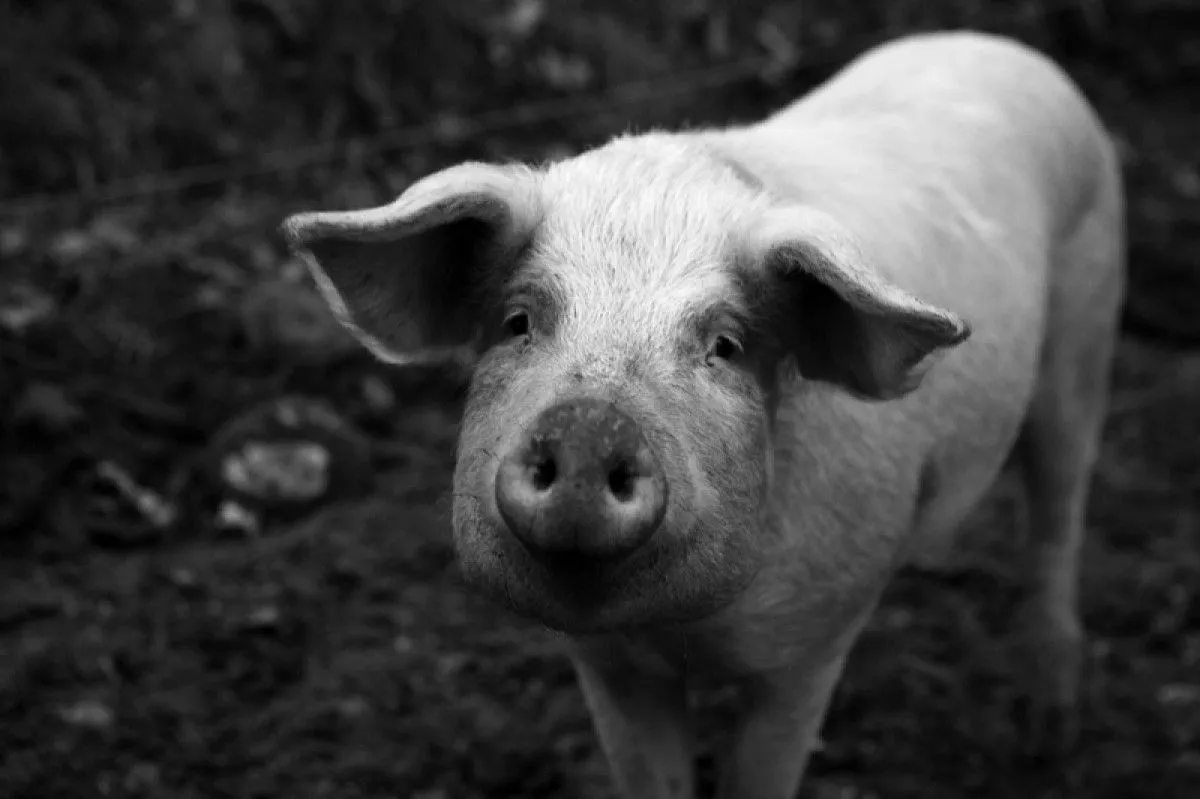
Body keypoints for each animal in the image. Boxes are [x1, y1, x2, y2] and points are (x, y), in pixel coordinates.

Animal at [283, 30, 1125, 799]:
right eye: (520, 320)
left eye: (724, 344)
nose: (589, 427)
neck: (686, 634)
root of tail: (1004, 46)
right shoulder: (610, 668)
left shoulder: (809, 651)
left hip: (1086, 331)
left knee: (1061, 505)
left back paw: (1051, 728)